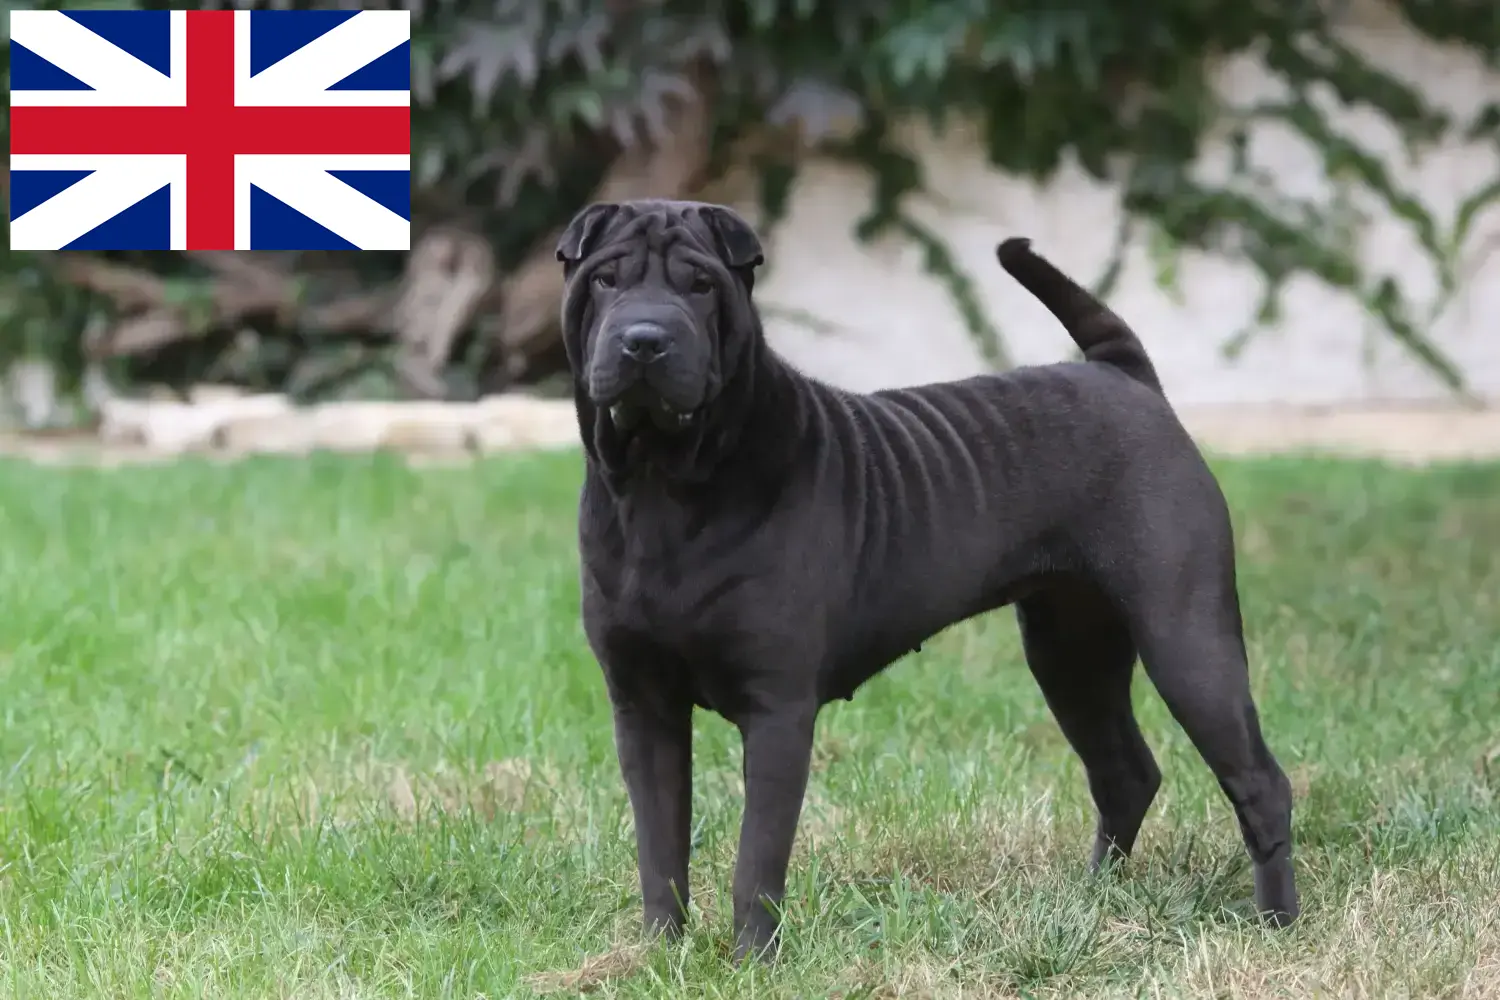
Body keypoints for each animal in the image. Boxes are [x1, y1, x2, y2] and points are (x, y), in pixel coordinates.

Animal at [555, 197, 1302, 959]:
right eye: (607, 278)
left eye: (701, 285)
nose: (645, 339)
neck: (662, 486)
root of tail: (1126, 377)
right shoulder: (643, 707)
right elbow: (660, 848)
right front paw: (658, 954)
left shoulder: (777, 709)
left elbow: (755, 859)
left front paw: (753, 961)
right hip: (1069, 651)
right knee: (1124, 773)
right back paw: (1096, 898)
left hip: (1186, 642)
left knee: (1259, 783)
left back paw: (1277, 923)